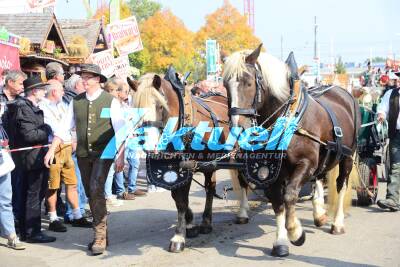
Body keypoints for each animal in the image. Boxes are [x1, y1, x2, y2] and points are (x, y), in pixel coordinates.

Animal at [133, 73, 248, 253]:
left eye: (160, 106)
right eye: (136, 109)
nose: (150, 146)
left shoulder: (187, 167)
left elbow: (182, 201)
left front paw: (179, 237)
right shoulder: (175, 169)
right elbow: (177, 198)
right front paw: (190, 225)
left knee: (241, 182)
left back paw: (242, 213)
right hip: (210, 164)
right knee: (210, 188)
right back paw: (206, 222)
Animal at [223, 45, 360, 258]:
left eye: (248, 82)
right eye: (224, 85)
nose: (238, 128)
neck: (286, 117)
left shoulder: (306, 163)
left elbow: (289, 195)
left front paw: (295, 231)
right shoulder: (271, 171)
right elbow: (277, 201)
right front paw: (280, 241)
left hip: (347, 155)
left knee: (341, 185)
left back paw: (337, 223)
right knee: (319, 179)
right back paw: (319, 214)